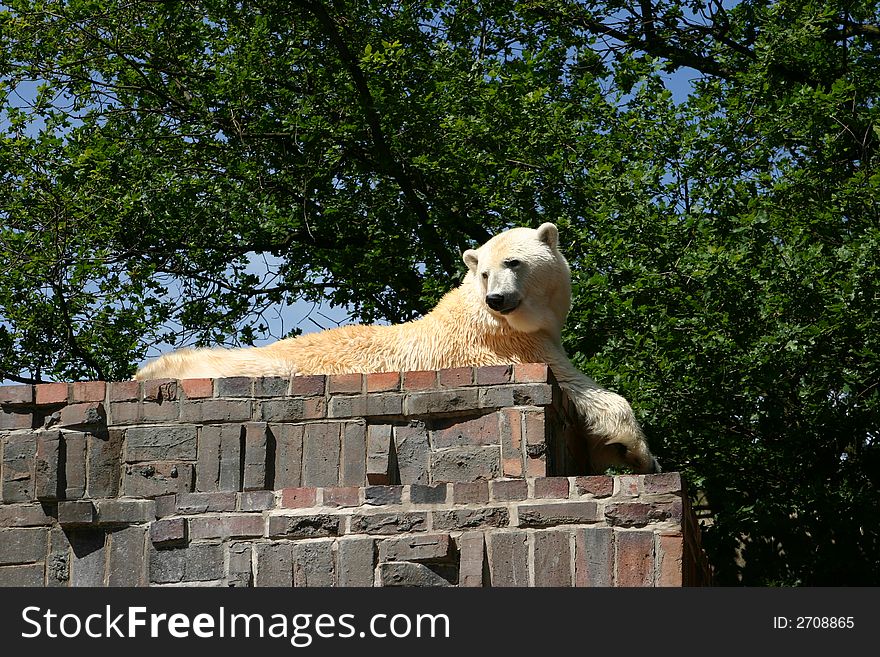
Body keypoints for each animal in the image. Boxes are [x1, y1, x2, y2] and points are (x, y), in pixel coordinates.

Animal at [138, 224, 656, 472]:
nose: (497, 298)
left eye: (513, 262)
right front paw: (638, 453)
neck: (479, 317)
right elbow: (588, 392)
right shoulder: (509, 347)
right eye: (485, 272)